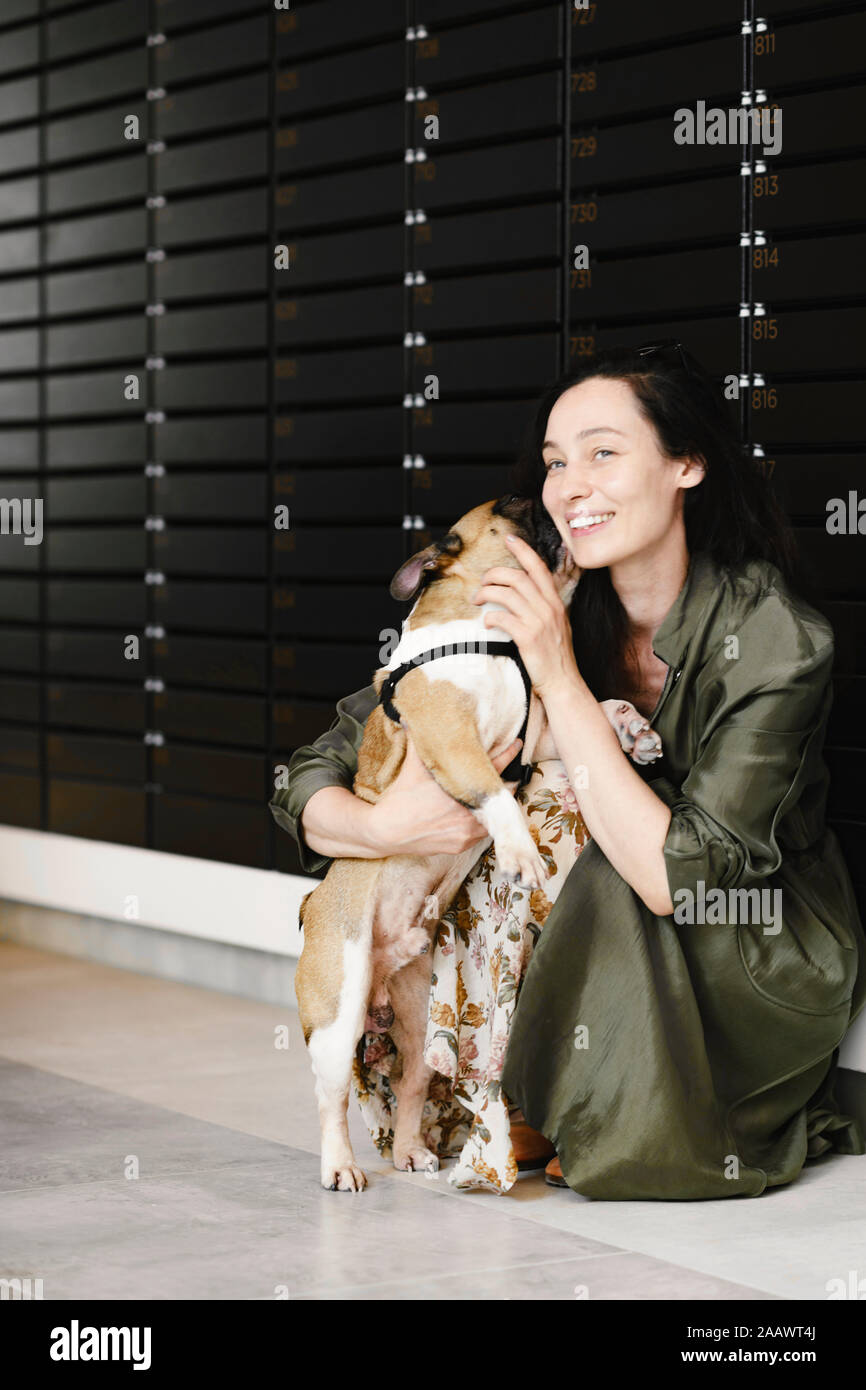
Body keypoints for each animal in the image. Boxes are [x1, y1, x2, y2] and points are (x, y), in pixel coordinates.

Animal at [294, 494, 661, 1189]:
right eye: (516, 506)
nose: (554, 503)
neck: (492, 636)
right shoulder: (453, 736)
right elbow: (494, 795)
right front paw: (519, 850)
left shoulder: (537, 734)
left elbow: (598, 710)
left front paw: (633, 728)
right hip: (338, 1010)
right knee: (328, 1097)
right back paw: (339, 1166)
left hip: (416, 1013)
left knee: (412, 1082)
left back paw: (411, 1150)